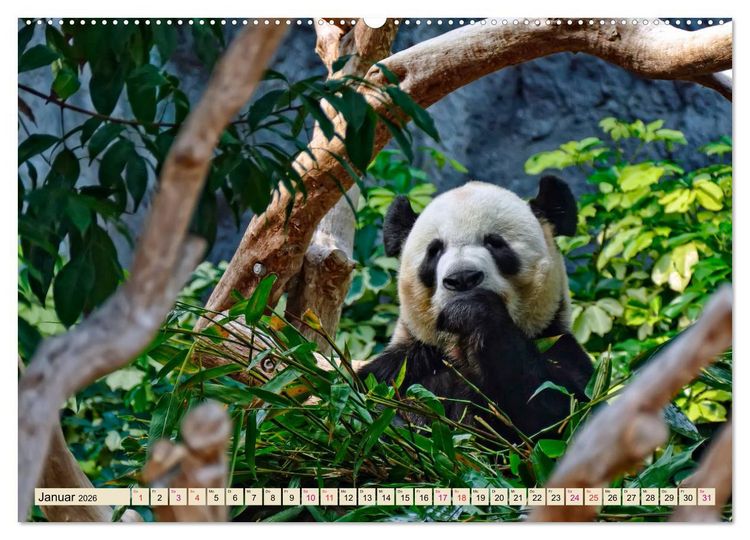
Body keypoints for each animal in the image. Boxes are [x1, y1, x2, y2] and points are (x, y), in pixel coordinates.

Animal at [357, 176, 594, 441]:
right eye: (434, 250)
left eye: (495, 242)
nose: (462, 278)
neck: (459, 350)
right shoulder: (406, 365)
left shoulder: (558, 345)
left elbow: (561, 415)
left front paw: (471, 309)